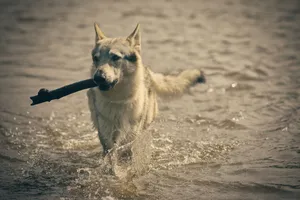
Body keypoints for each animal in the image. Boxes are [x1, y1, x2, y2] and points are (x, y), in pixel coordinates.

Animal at [85, 22, 205, 174]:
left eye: (115, 57)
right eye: (96, 58)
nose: (98, 77)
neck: (118, 99)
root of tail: (147, 70)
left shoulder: (130, 134)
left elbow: (125, 153)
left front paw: (124, 171)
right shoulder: (107, 135)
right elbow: (110, 154)